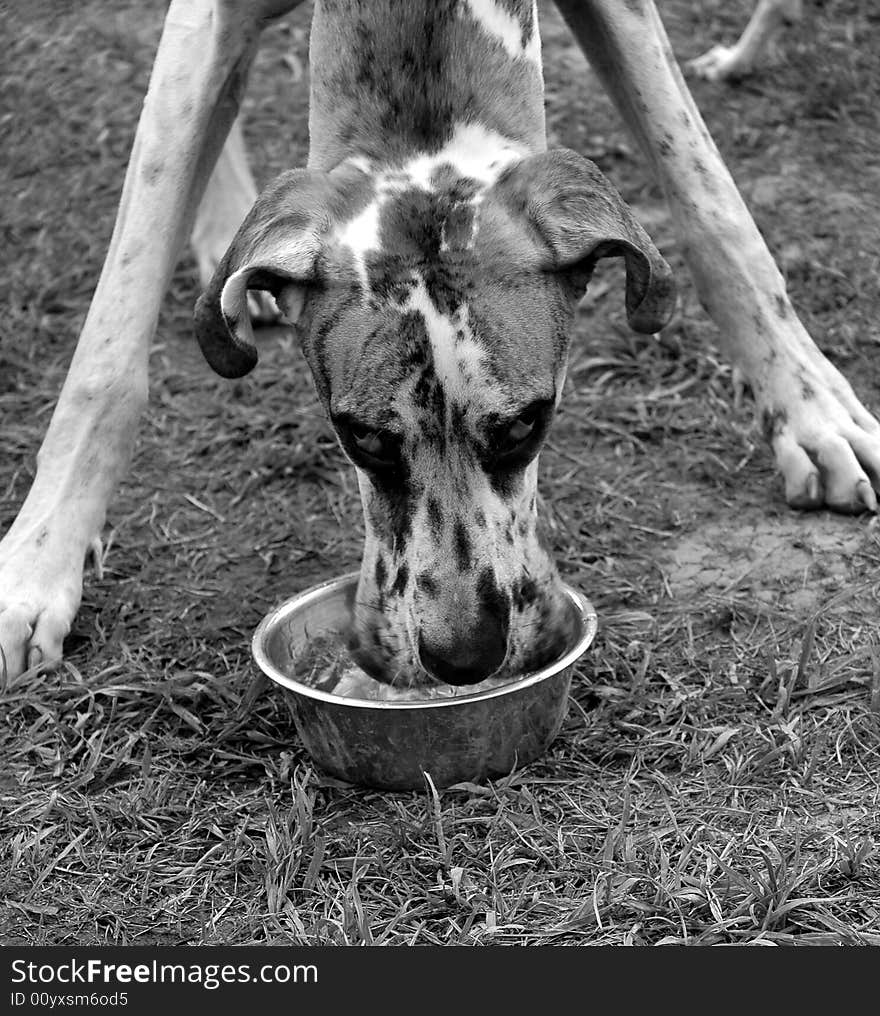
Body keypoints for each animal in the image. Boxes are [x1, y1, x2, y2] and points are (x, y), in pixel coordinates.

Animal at [0, 0, 873, 686]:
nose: (464, 658)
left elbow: (714, 209)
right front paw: (36, 567)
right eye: (359, 439)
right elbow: (110, 345)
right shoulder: (201, 25)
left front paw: (813, 413)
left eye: (529, 425)